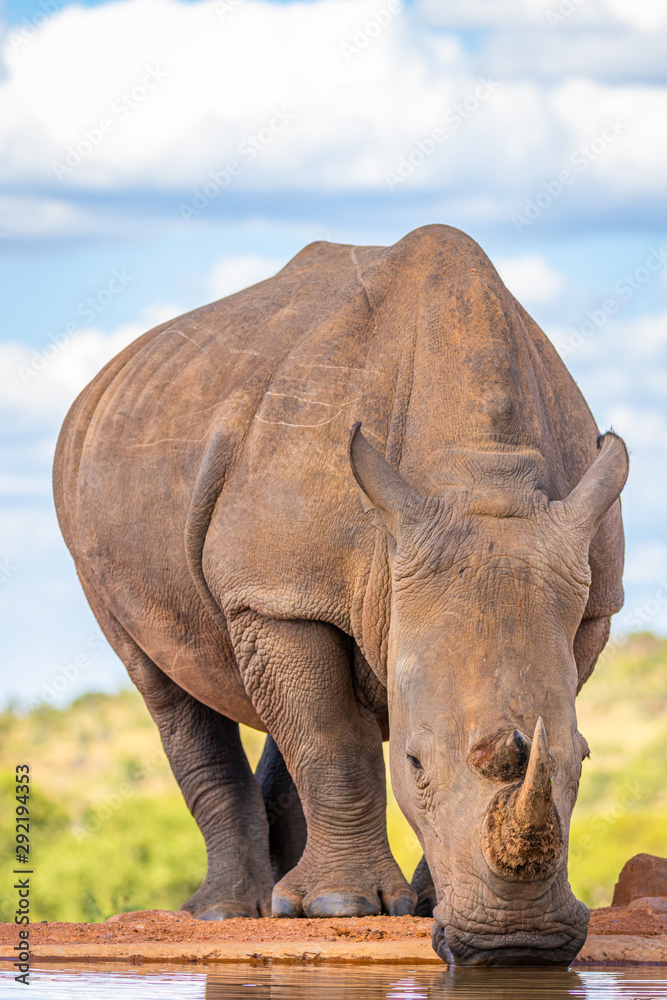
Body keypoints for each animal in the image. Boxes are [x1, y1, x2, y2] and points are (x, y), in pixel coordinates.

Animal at [54, 225, 628, 965]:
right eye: (413, 762)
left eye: (585, 760)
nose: (517, 946)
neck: (478, 473)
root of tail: (103, 382)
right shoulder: (279, 589)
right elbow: (332, 744)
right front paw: (344, 907)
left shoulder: (588, 599)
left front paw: (423, 905)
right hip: (94, 498)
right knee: (162, 682)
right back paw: (232, 913)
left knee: (275, 699)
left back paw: (280, 904)